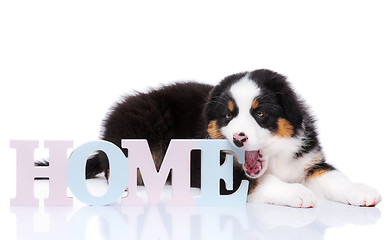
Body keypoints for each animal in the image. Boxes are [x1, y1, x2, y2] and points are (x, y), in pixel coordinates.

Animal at [86, 68, 380, 207]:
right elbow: (261, 181)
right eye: (228, 116)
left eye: (260, 113)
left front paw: (362, 191)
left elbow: (333, 176)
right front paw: (297, 193)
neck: (274, 157)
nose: (239, 138)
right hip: (145, 122)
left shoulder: (308, 160)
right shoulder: (218, 170)